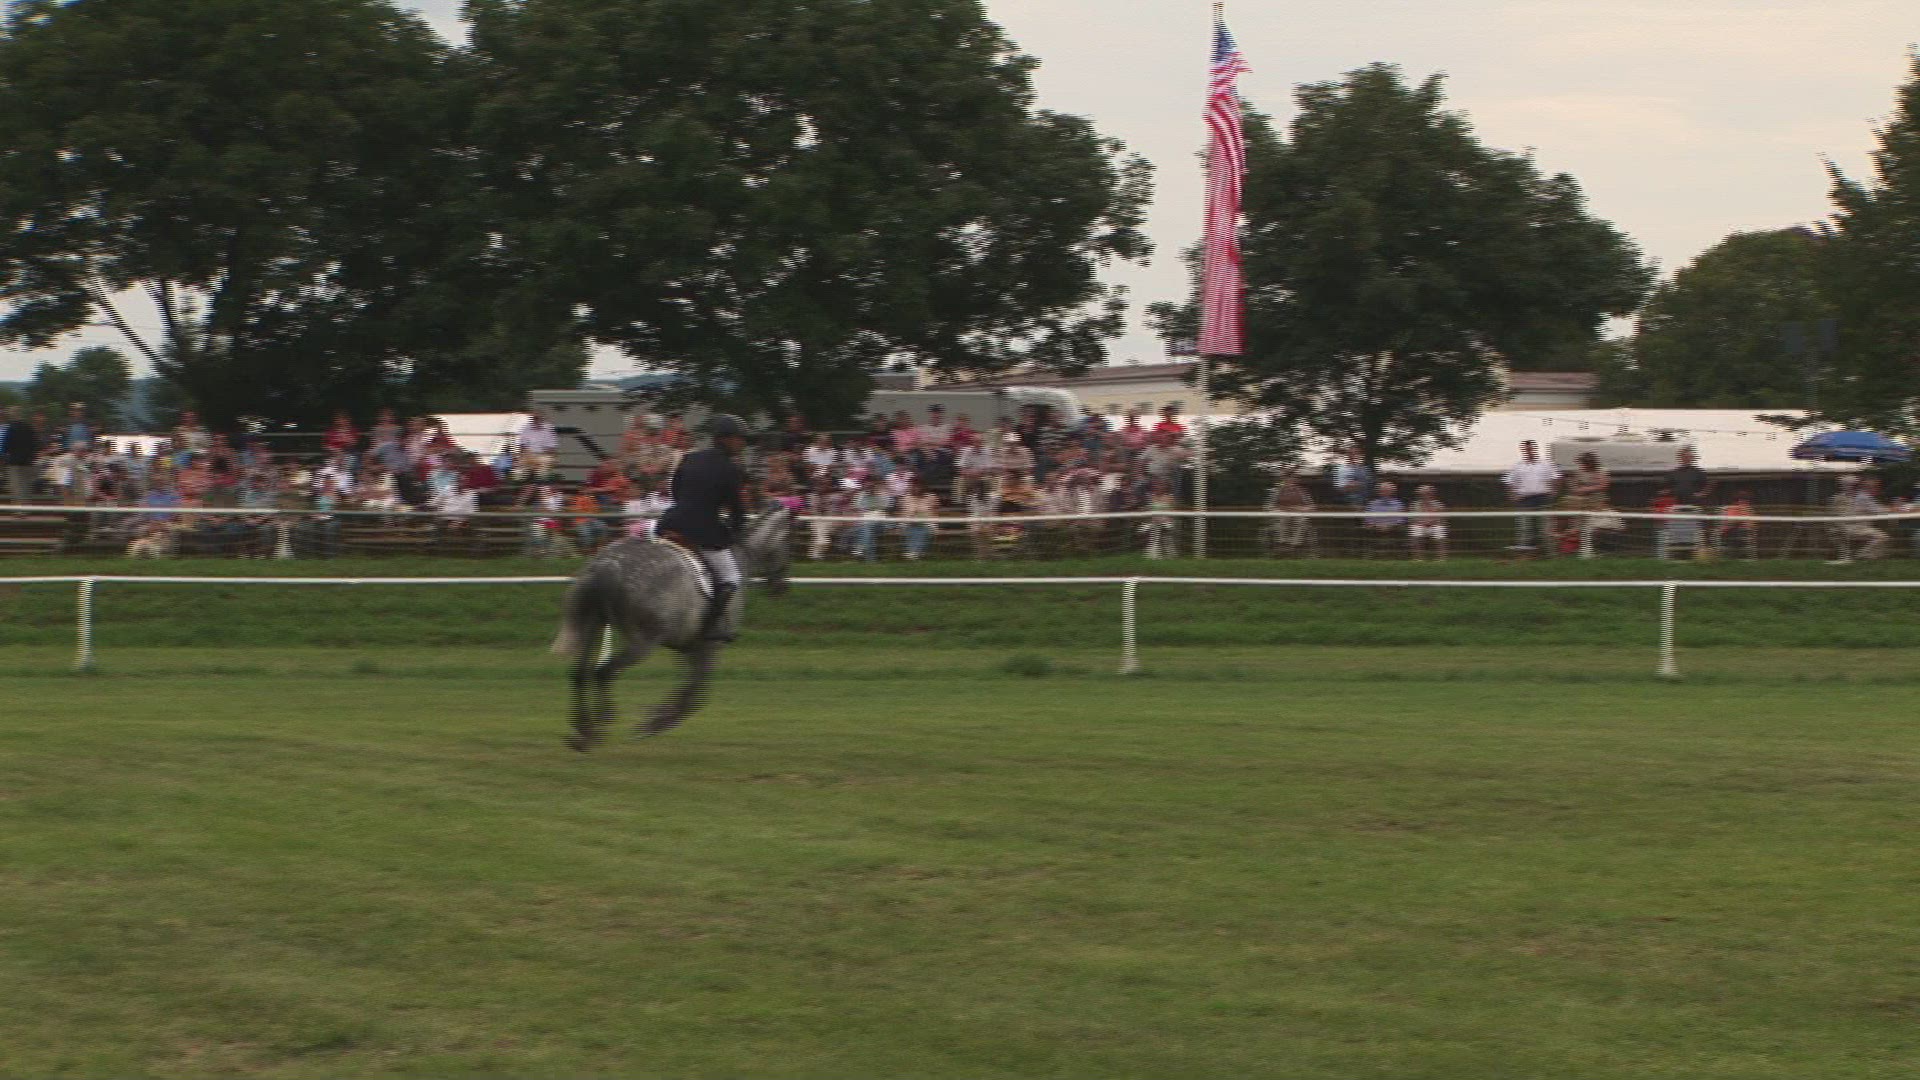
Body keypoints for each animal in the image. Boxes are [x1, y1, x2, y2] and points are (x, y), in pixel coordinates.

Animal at [551, 506, 793, 751]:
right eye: (787, 541)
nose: (781, 587)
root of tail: (607, 565)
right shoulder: (709, 646)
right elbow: (698, 692)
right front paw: (655, 723)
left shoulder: (686, 647)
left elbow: (689, 688)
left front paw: (658, 718)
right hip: (643, 642)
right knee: (604, 672)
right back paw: (600, 724)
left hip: (594, 624)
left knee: (579, 673)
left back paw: (583, 730)